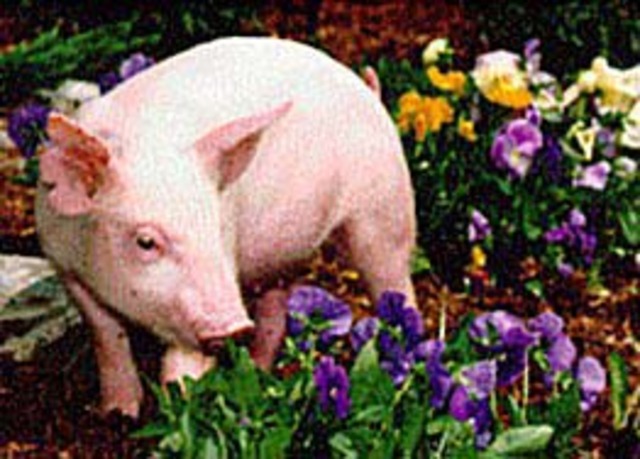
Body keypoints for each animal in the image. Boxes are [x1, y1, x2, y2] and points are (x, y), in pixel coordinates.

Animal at [35, 37, 416, 417]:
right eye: (145, 241)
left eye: (216, 228)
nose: (234, 327)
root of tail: (367, 89)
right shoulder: (63, 264)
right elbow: (107, 335)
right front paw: (118, 413)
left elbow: (184, 366)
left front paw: (180, 415)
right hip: (284, 255)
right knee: (274, 314)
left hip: (385, 209)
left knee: (396, 282)